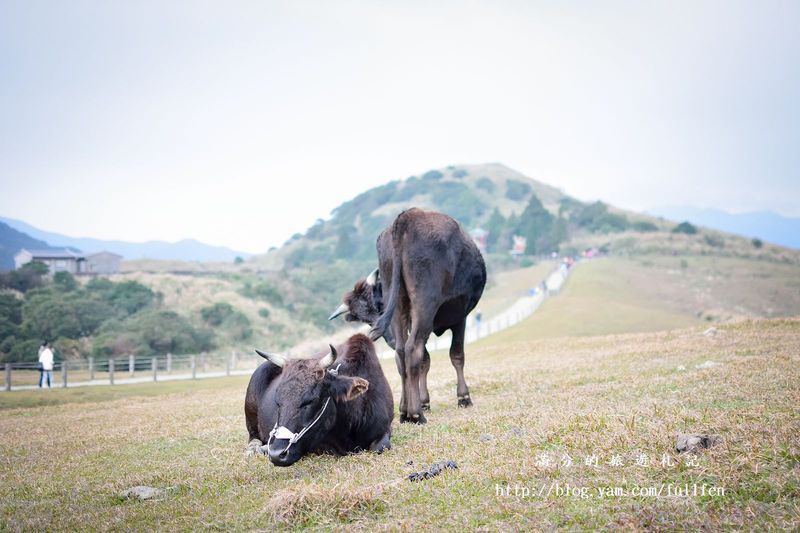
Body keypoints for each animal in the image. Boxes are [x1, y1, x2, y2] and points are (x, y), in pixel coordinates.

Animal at [244, 332, 394, 466]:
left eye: (311, 401)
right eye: (278, 402)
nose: (276, 454)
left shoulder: (385, 429)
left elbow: (380, 447)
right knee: (253, 438)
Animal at [328, 208, 484, 424]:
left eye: (378, 309)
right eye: (365, 319)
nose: (388, 338)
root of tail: (407, 217)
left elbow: (426, 361)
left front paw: (423, 401)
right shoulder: (460, 317)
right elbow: (456, 355)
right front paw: (463, 397)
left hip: (399, 303)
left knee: (401, 353)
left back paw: (404, 412)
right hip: (425, 303)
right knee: (412, 349)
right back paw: (416, 414)